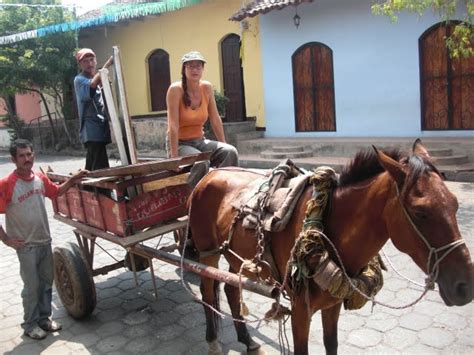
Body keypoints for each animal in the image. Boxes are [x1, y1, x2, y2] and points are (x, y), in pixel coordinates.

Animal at [187, 140, 472, 354]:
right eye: (420, 212)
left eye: (455, 204)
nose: (464, 287)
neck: (327, 224)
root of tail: (210, 174)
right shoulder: (301, 310)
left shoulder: (333, 302)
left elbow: (331, 344)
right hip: (208, 253)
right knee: (208, 291)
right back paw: (212, 340)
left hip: (236, 257)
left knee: (230, 289)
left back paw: (247, 340)